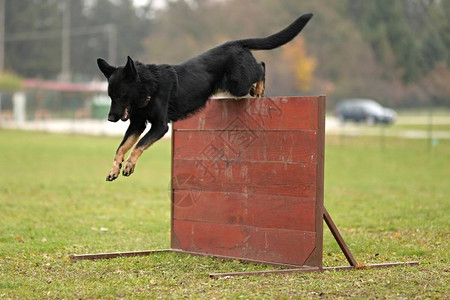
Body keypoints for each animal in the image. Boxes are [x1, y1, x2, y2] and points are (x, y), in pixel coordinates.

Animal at [97, 13, 312, 180]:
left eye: (121, 95)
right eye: (110, 96)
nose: (110, 118)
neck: (150, 87)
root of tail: (235, 43)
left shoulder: (160, 126)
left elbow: (138, 145)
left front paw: (129, 165)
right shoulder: (137, 125)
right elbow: (121, 147)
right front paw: (114, 169)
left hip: (237, 84)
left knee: (261, 66)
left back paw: (259, 88)